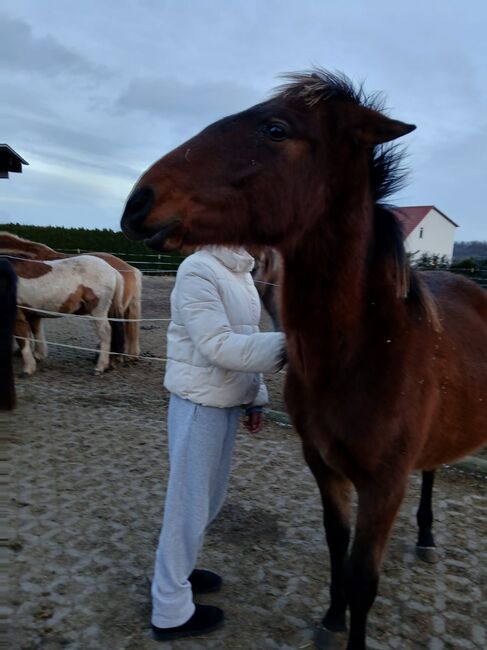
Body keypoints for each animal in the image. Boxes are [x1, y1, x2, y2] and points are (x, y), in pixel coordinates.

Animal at [119, 71, 487, 648]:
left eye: (276, 129)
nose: (139, 201)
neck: (363, 353)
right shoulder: (324, 467)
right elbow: (338, 547)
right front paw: (332, 619)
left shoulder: (384, 485)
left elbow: (364, 578)